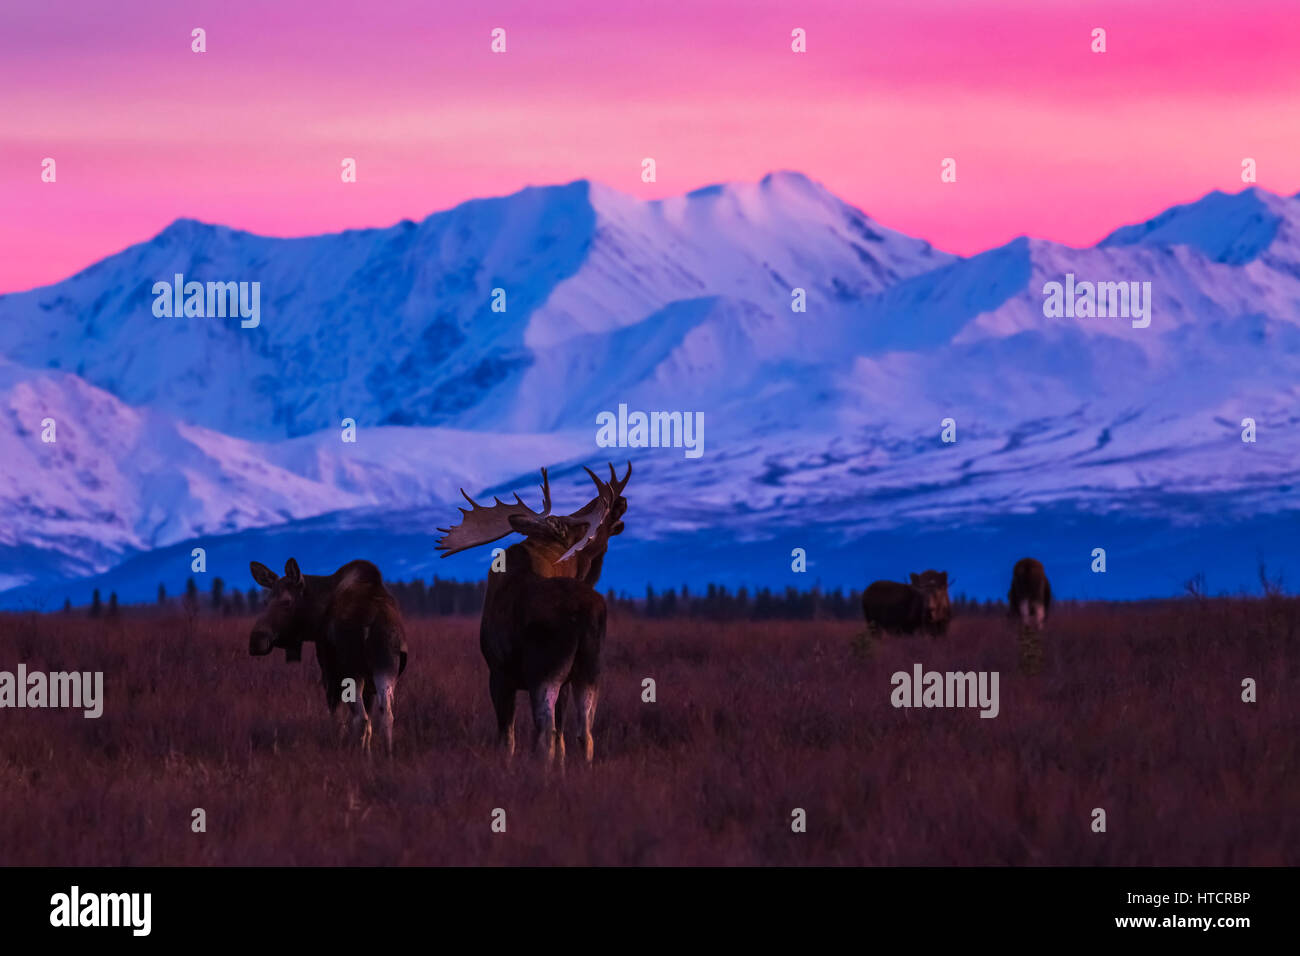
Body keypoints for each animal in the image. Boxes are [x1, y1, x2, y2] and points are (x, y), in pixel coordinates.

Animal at [244, 561, 405, 754]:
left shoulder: (329, 671)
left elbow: (336, 717)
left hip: (351, 670)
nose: (255, 640)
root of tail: (376, 621)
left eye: (286, 602)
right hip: (385, 667)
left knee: (361, 717)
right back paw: (386, 755)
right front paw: (369, 753)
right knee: (386, 714)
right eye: (265, 601)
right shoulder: (369, 683)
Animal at [434, 460, 631, 764]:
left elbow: (507, 738)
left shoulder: (499, 673)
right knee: (583, 734)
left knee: (544, 734)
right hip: (589, 670)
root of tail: (585, 611)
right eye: (580, 522)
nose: (620, 501)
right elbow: (560, 737)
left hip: (545, 671)